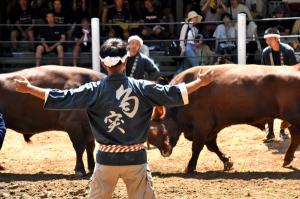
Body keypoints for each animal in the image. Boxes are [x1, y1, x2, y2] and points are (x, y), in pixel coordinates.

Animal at [149, 65, 300, 173]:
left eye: (155, 131)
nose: (165, 152)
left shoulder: (202, 126)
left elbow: (197, 148)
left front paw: (190, 167)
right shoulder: (212, 128)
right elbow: (212, 146)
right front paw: (227, 161)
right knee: (295, 137)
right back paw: (287, 159)